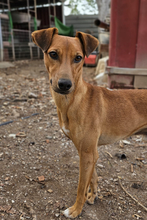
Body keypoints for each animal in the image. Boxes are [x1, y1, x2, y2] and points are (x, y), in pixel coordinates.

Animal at [31, 27, 147, 218]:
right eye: (53, 54)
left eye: (78, 58)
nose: (65, 84)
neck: (73, 101)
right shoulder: (88, 151)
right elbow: (93, 177)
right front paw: (93, 195)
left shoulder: (87, 153)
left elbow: (80, 187)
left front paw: (76, 210)